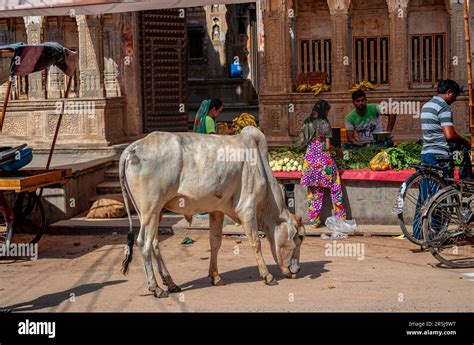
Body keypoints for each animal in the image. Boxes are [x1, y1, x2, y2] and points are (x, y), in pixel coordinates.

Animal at [118, 125, 304, 296]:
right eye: (300, 236)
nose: (297, 270)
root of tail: (133, 147)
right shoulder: (247, 209)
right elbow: (256, 242)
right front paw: (267, 276)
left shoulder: (217, 210)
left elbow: (215, 243)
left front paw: (215, 277)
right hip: (150, 210)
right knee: (143, 243)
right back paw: (155, 287)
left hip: (153, 213)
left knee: (155, 244)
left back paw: (170, 283)